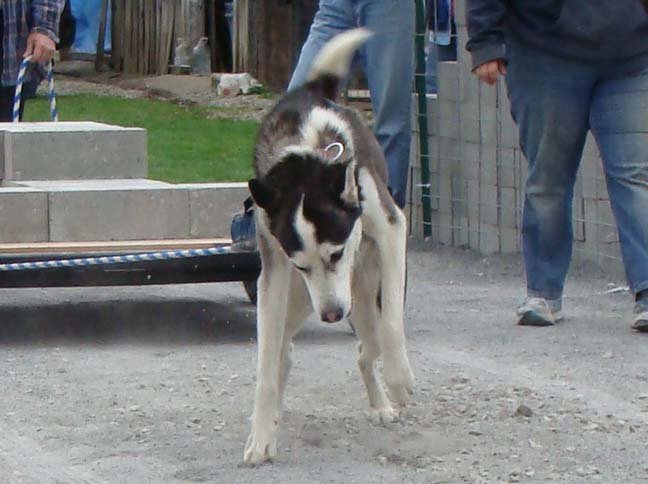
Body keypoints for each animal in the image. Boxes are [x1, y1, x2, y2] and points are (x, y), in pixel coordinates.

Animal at [243, 27, 416, 466]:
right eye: (301, 266)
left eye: (336, 254)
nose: (334, 315)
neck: (308, 151)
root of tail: (312, 89)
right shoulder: (276, 272)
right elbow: (265, 368)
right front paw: (262, 436)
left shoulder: (392, 230)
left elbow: (393, 324)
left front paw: (399, 378)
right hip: (300, 302)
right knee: (286, 351)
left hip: (360, 292)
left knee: (368, 346)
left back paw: (381, 403)